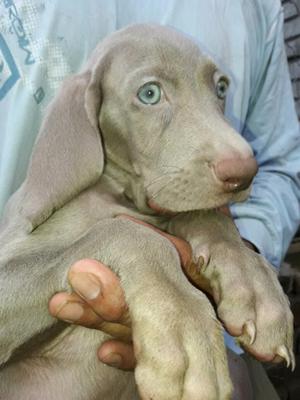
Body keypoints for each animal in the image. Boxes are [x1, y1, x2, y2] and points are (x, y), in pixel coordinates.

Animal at [0, 25, 294, 400]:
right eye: (150, 94)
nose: (244, 173)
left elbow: (203, 213)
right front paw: (183, 325)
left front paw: (254, 285)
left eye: (221, 88)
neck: (124, 197)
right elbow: (123, 231)